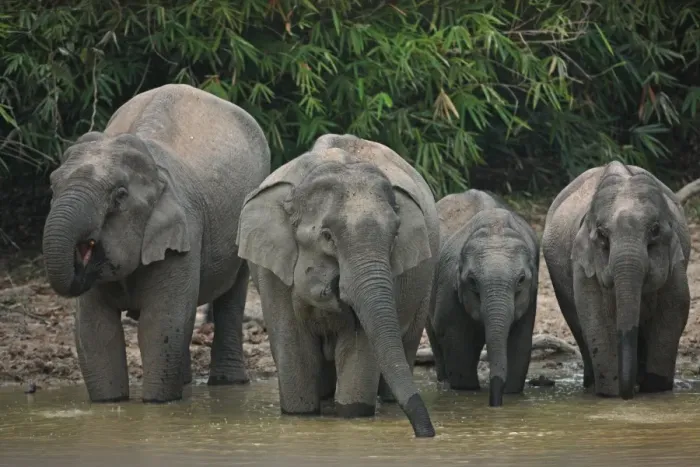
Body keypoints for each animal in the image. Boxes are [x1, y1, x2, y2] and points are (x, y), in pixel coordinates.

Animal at [41, 83, 271, 403]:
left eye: (119, 196)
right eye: (53, 185)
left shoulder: (184, 232)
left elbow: (161, 321)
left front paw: (157, 403)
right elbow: (94, 327)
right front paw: (110, 403)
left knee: (230, 299)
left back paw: (228, 383)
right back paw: (185, 383)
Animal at [236, 133, 439, 437]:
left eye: (394, 237)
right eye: (327, 236)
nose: (427, 434)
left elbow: (359, 349)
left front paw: (352, 414)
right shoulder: (273, 273)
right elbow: (295, 347)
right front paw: (302, 415)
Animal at [426, 189, 539, 407]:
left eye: (521, 280)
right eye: (472, 280)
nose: (495, 403)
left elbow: (520, 341)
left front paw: (511, 393)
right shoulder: (448, 285)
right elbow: (456, 340)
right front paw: (466, 390)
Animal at [542, 161, 691, 399]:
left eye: (655, 230)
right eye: (602, 235)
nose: (628, 394)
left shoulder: (676, 262)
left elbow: (674, 310)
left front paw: (656, 390)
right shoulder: (584, 263)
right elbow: (596, 317)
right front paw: (611, 394)